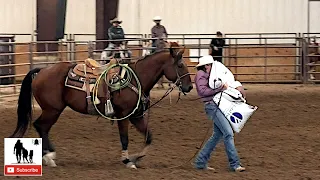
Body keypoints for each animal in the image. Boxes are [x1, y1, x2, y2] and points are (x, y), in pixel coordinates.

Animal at [9, 41, 192, 168]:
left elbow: (148, 137)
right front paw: (127, 160)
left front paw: (136, 158)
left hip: (52, 110)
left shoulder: (136, 116)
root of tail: (42, 71)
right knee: (40, 126)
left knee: (42, 127)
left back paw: (48, 156)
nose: (189, 87)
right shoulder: (123, 115)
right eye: (180, 65)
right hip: (52, 109)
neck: (136, 79)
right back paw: (49, 157)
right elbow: (124, 138)